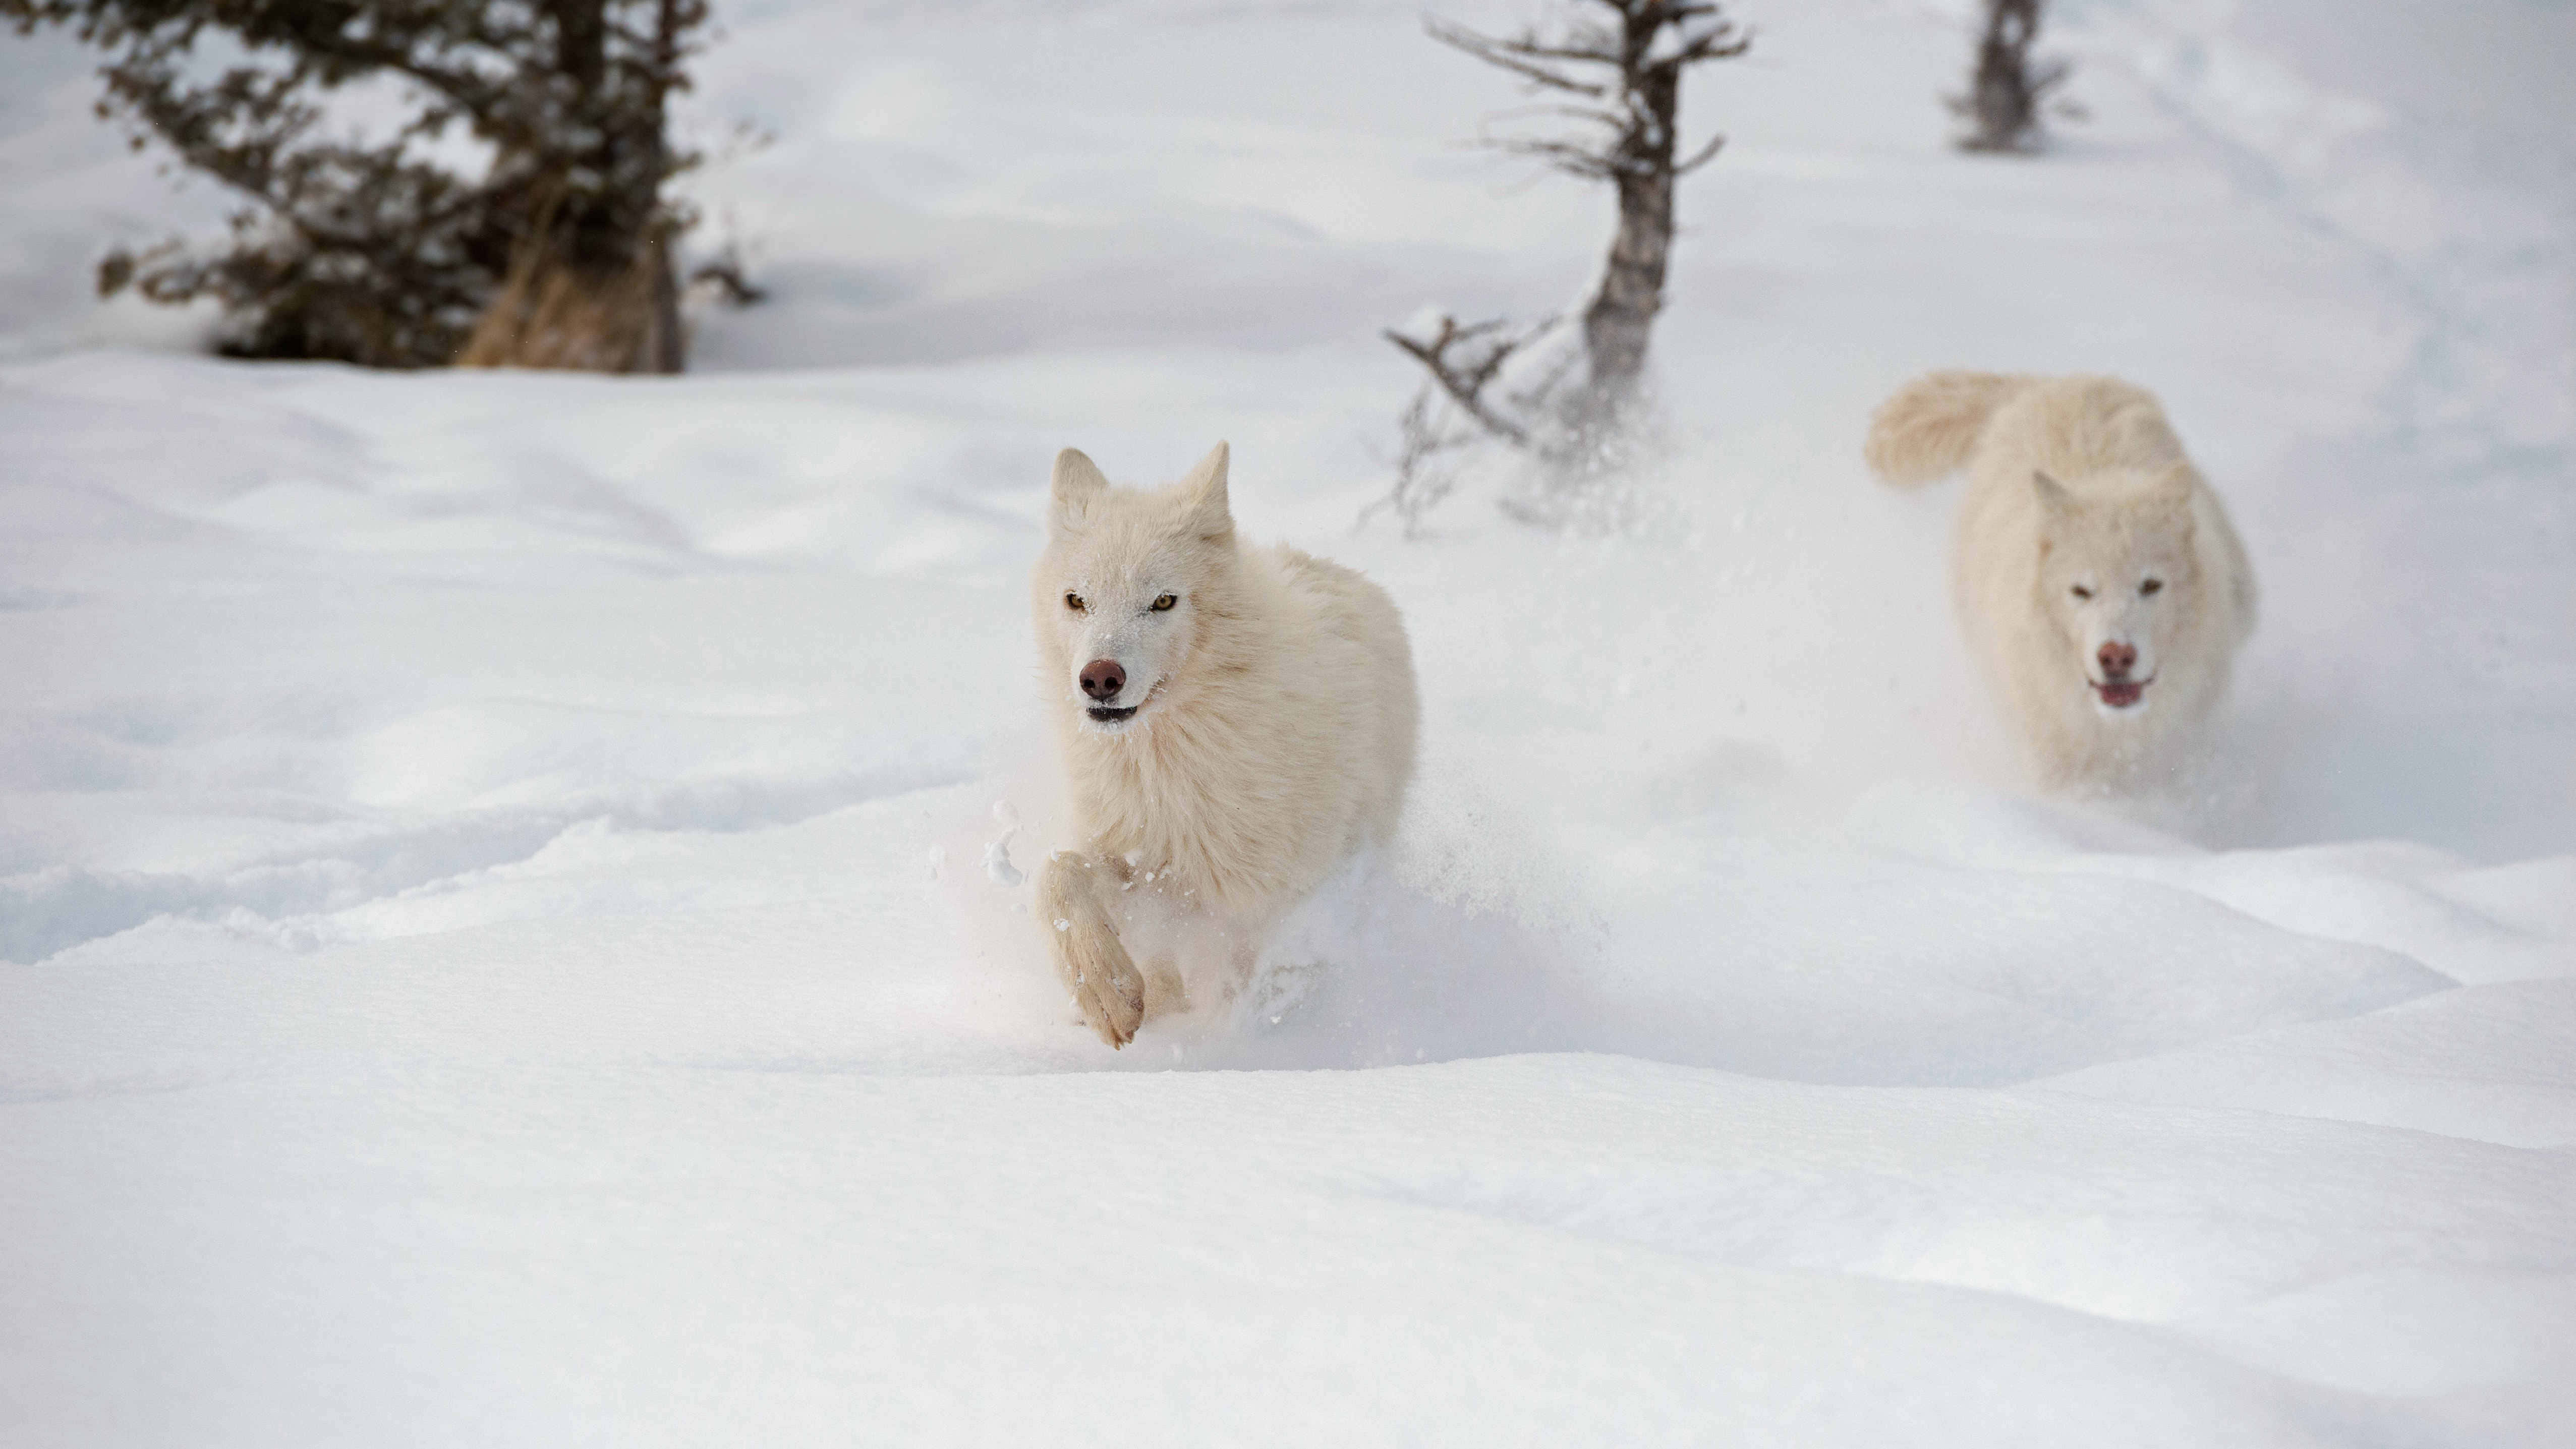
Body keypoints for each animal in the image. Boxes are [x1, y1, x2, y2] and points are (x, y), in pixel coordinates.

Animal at [1030, 442, 1418, 1047]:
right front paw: (1109, 995)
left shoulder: (1232, 897)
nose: (1100, 679)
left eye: (1163, 601)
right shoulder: (1134, 858)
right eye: (1076, 600)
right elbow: (1056, 877)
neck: (1165, 761)